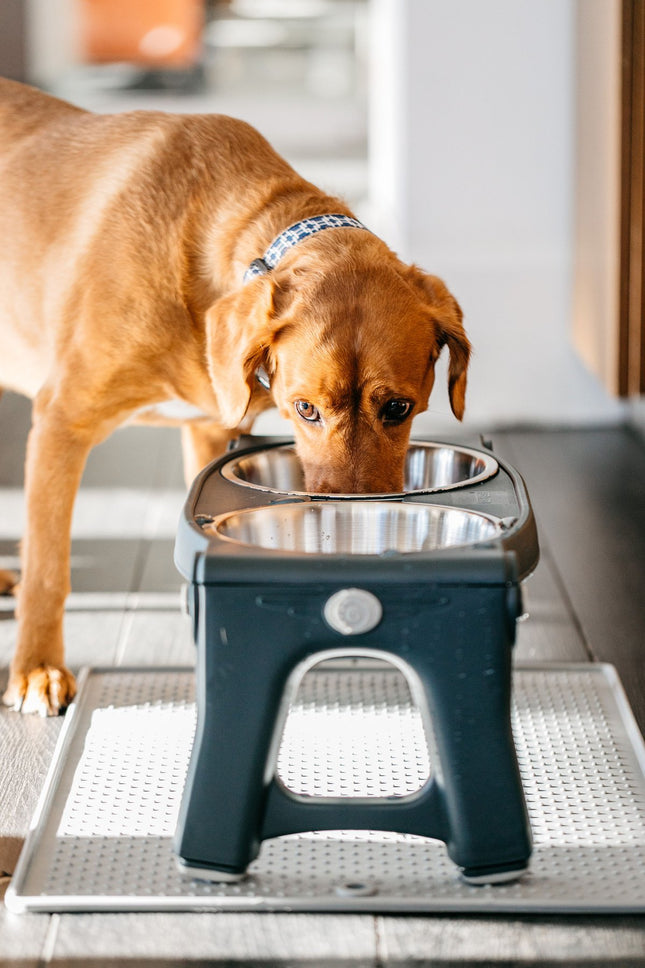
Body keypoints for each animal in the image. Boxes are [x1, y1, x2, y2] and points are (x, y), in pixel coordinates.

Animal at [0, 77, 468, 712]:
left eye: (398, 408)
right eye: (305, 410)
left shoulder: (208, 430)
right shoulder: (61, 421)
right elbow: (49, 568)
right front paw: (36, 669)